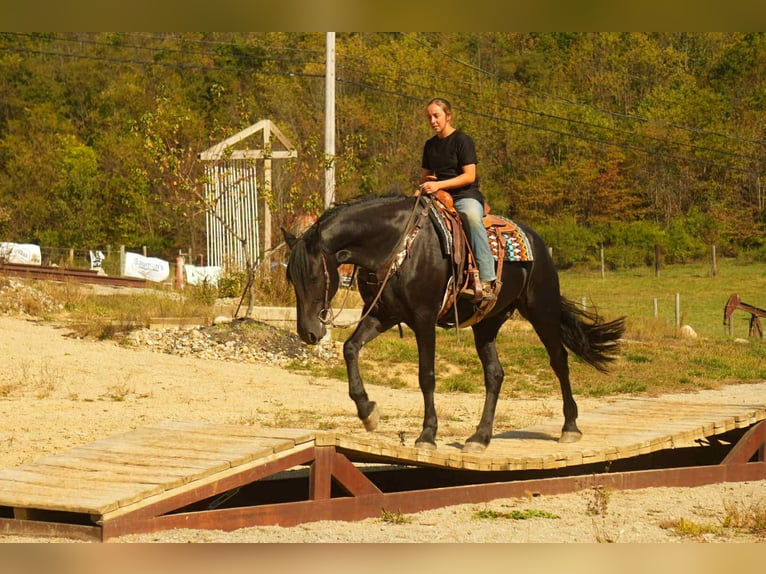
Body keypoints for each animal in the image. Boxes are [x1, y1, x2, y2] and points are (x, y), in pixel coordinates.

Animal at [283, 193, 625, 452]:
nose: (308, 333)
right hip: (487, 323)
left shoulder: (423, 318)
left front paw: (427, 435)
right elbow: (351, 349)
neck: (397, 245)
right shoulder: (383, 314)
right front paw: (368, 412)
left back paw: (570, 426)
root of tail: (537, 241)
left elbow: (426, 376)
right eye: (291, 278)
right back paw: (480, 437)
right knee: (495, 374)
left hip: (541, 309)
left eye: (313, 276)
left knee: (559, 360)